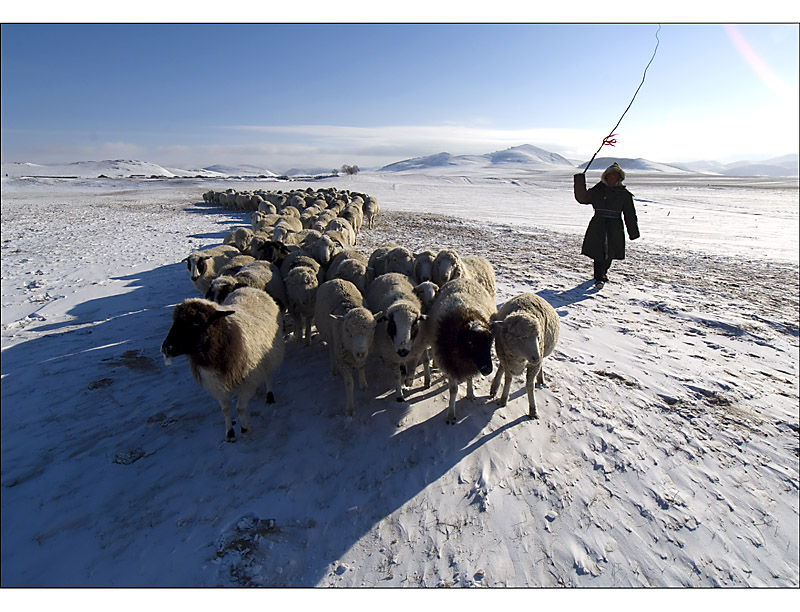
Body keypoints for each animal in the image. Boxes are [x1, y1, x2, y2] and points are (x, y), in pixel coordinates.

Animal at [161, 286, 286, 440]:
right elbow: (225, 409)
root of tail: (250, 288)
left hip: (270, 354)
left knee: (268, 373)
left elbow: (240, 408)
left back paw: (269, 396)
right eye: (174, 321)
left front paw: (245, 428)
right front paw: (230, 432)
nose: (166, 348)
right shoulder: (216, 385)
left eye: (196, 322)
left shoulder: (248, 381)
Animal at [368, 272, 432, 402]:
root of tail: (390, 273)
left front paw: (408, 382)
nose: (403, 351)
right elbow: (396, 376)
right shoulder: (391, 357)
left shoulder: (415, 353)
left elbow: (412, 371)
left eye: (414, 324)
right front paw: (399, 396)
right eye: (392, 324)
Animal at [428, 278, 496, 426]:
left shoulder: (470, 365)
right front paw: (450, 415)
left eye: (490, 343)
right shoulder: (449, 364)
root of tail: (462, 279)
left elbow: (469, 378)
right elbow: (453, 390)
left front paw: (470, 394)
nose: (488, 370)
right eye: (470, 343)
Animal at [490, 292, 560, 420]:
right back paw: (495, 387)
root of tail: (530, 293)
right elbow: (508, 380)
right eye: (519, 336)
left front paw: (533, 409)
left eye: (538, 337)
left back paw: (540, 379)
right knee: (501, 367)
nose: (536, 357)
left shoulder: (533, 365)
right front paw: (503, 399)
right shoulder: (508, 360)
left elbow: (530, 386)